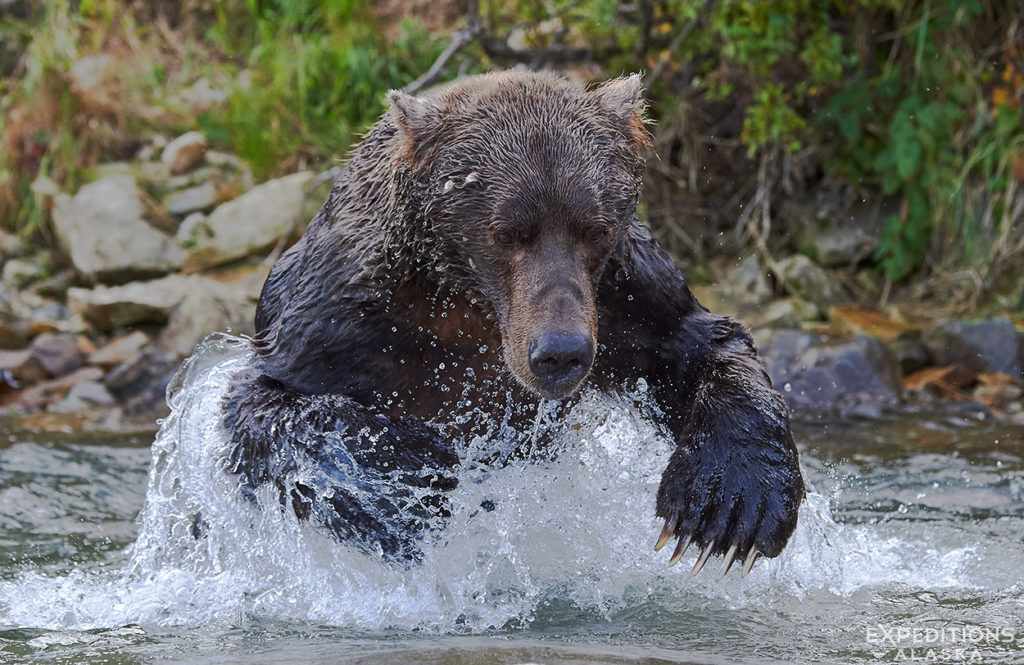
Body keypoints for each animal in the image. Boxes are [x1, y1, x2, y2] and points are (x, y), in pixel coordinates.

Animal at [222, 70, 798, 573]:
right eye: (506, 232)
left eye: (593, 228)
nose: (561, 351)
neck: (466, 300)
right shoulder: (339, 319)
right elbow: (271, 403)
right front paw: (402, 480)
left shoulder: (624, 298)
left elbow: (701, 343)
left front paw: (729, 507)